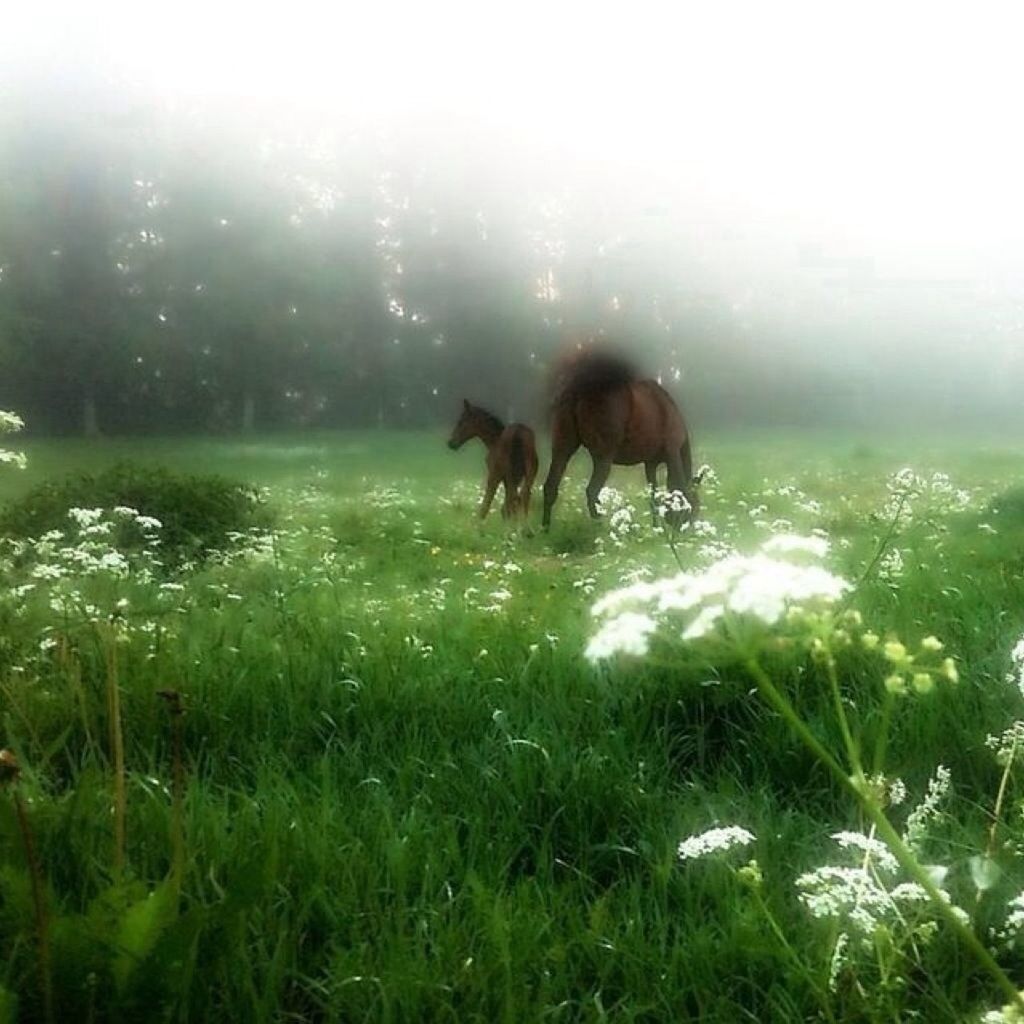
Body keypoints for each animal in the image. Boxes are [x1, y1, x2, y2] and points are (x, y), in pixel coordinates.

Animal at [540, 350, 700, 528]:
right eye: (694, 507)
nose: (684, 529)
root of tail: (578, 388)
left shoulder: (650, 463)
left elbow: (653, 496)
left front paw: (656, 527)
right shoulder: (672, 453)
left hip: (562, 449)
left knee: (550, 487)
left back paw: (545, 528)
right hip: (603, 458)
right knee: (592, 491)